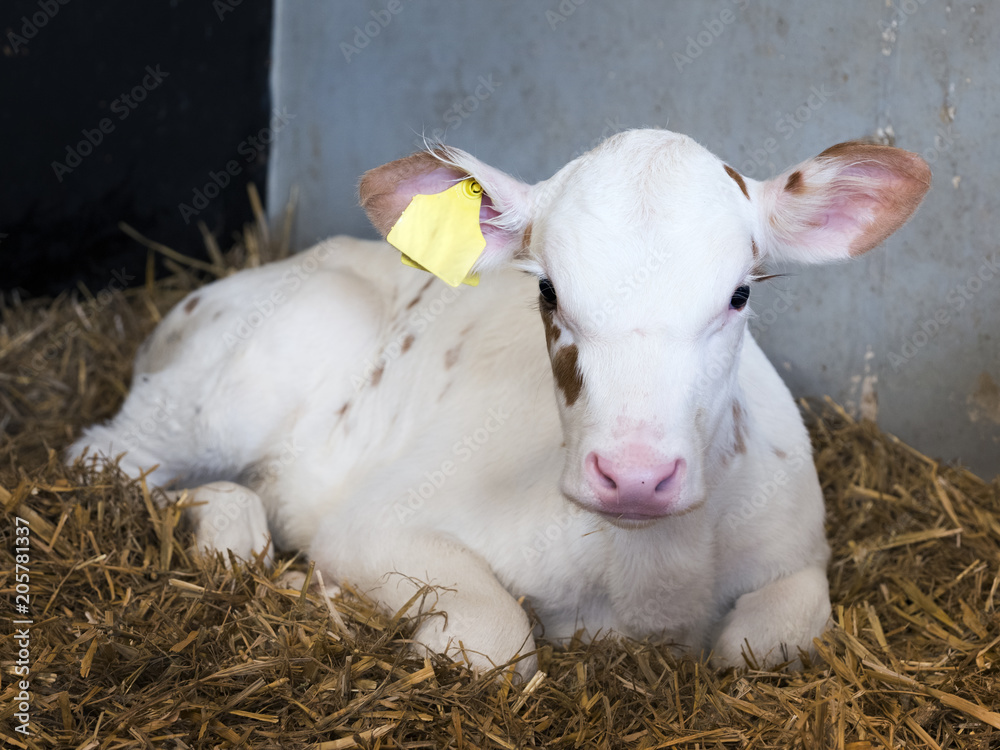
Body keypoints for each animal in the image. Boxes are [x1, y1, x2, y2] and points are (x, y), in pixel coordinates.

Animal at [69, 129, 931, 679]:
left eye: (740, 294)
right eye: (548, 291)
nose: (635, 474)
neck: (642, 577)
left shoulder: (799, 551)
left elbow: (766, 641)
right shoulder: (376, 526)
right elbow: (493, 643)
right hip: (247, 371)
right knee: (106, 455)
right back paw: (233, 537)